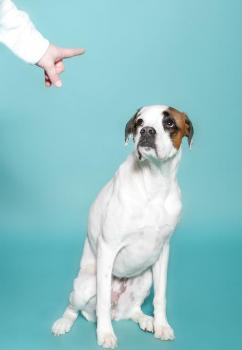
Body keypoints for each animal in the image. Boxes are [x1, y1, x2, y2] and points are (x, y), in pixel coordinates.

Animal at [51, 104, 193, 348]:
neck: (154, 182)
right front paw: (105, 334)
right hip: (84, 286)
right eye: (139, 122)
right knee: (75, 307)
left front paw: (162, 325)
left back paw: (146, 319)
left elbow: (160, 297)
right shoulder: (108, 247)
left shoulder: (163, 251)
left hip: (145, 279)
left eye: (169, 123)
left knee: (133, 310)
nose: (146, 131)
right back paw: (64, 322)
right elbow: (103, 301)